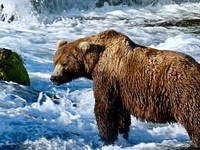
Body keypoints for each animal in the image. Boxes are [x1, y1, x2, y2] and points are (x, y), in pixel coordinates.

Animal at [50, 29, 200, 148]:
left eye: (65, 63)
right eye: (55, 61)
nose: (53, 78)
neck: (96, 62)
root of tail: (197, 67)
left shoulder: (107, 78)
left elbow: (104, 108)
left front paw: (107, 139)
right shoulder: (120, 89)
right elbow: (121, 113)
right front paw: (122, 136)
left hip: (184, 93)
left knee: (193, 120)